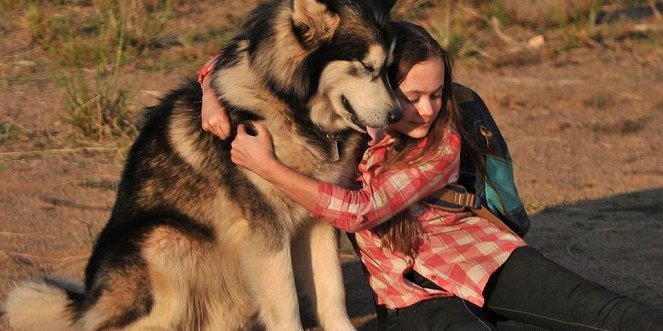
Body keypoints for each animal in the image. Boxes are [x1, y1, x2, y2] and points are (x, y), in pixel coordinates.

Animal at [5, 0, 402, 331]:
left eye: (390, 70)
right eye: (366, 67)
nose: (397, 115)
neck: (294, 113)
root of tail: (88, 300)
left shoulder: (318, 218)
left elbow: (332, 292)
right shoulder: (266, 228)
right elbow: (286, 301)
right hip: (164, 239)